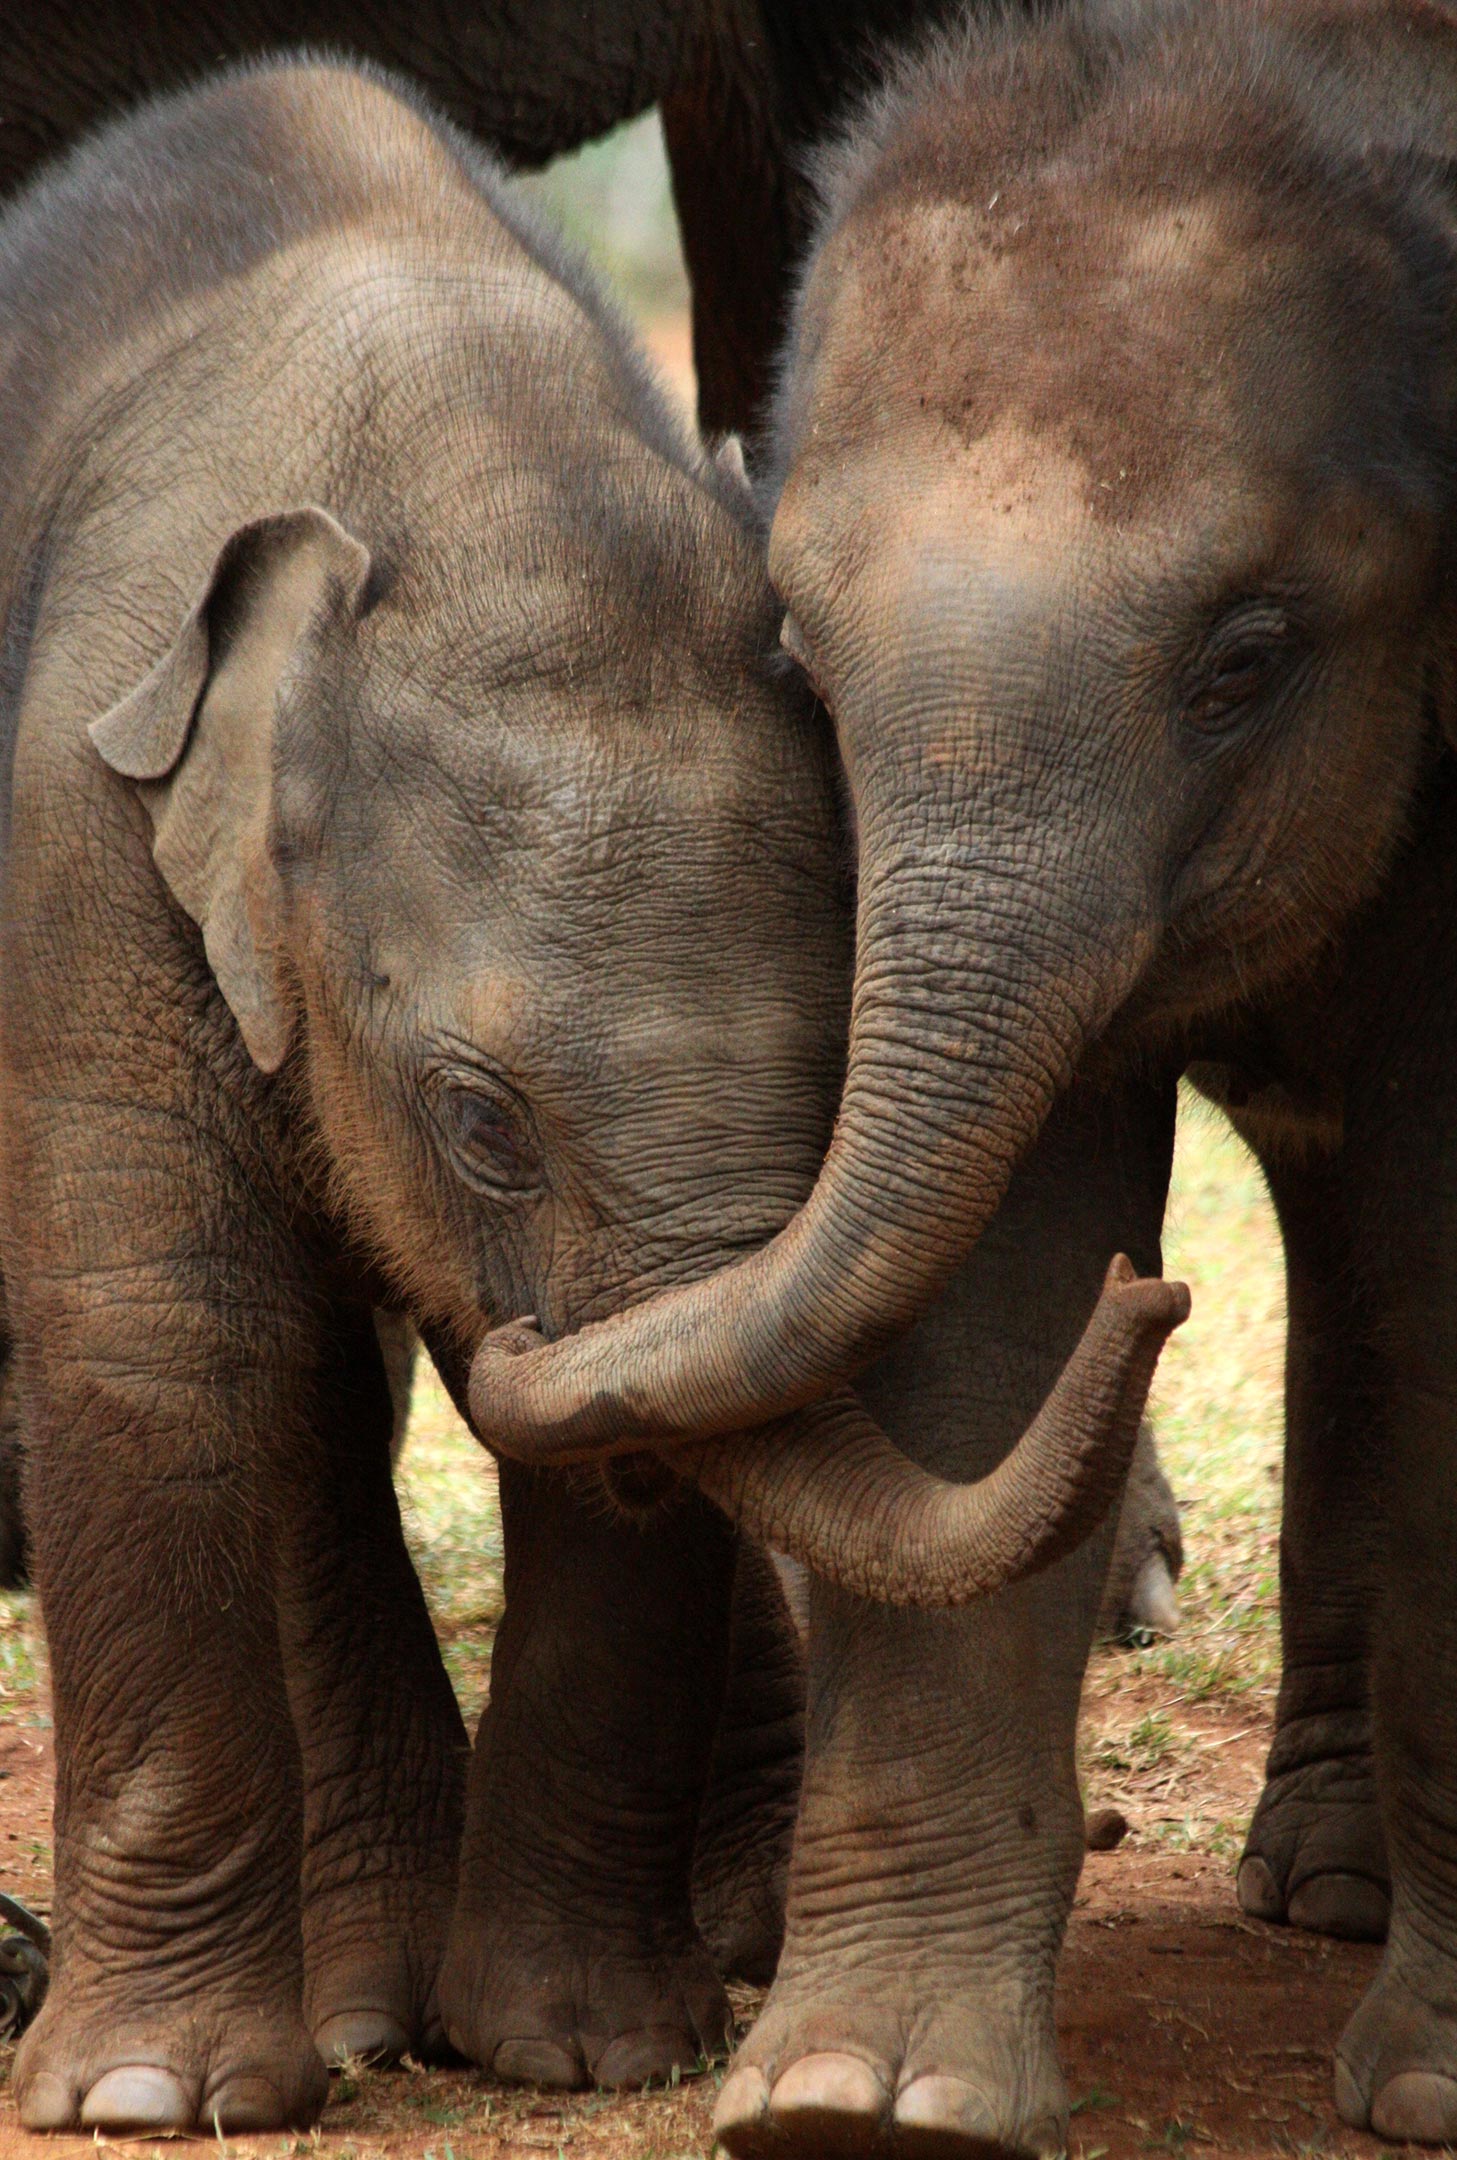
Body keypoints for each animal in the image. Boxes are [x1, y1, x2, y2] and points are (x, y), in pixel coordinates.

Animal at [0, 56, 1185, 2137]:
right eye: (482, 1124)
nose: (1155, 1286)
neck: (440, 461)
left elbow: (625, 1463)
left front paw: (575, 2054)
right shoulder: (82, 821)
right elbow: (165, 1335)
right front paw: (148, 2103)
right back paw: (348, 2018)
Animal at [464, 0, 1457, 2148]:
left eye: (1244, 662)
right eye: (800, 671)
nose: (1160, 1303)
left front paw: (1427, 2090)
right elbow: (987, 1295)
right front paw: (853, 2099)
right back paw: (1321, 1880)